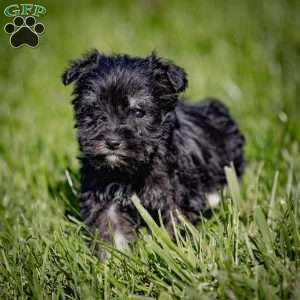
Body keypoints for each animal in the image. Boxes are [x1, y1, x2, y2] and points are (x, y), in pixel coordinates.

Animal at [62, 50, 245, 252]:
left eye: (138, 112)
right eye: (94, 110)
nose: (112, 142)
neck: (130, 169)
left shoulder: (173, 198)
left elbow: (173, 227)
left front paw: (172, 252)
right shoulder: (103, 196)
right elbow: (111, 230)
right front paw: (115, 257)